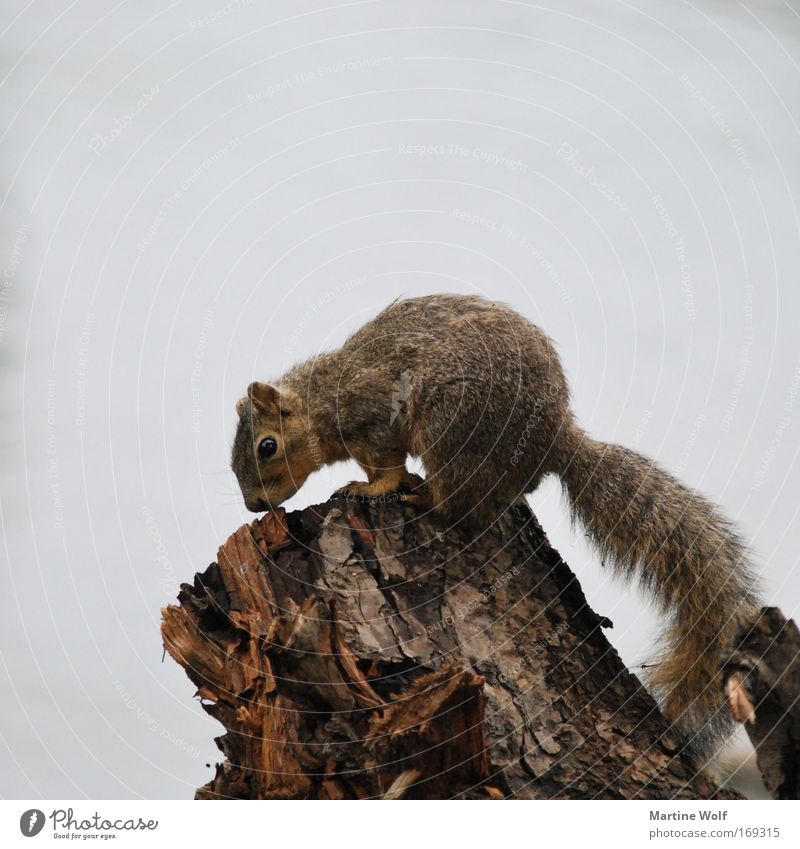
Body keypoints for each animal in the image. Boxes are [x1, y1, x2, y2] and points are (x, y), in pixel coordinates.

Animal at [230, 294, 756, 756]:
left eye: (267, 446)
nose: (254, 506)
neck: (322, 399)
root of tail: (554, 440)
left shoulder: (372, 418)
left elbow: (386, 468)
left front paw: (369, 488)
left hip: (452, 425)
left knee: (461, 504)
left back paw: (425, 496)